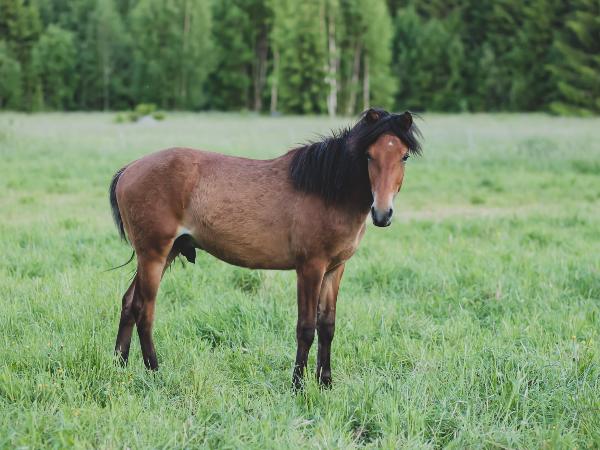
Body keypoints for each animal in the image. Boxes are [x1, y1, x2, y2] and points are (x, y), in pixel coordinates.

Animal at [109, 108, 422, 388]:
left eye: (404, 156)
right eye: (369, 155)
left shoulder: (335, 269)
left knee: (129, 303)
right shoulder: (310, 268)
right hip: (153, 255)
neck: (328, 190)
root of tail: (129, 169)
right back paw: (153, 370)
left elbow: (327, 327)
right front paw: (298, 385)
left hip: (163, 255)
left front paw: (326, 383)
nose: (382, 213)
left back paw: (119, 365)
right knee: (144, 309)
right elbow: (306, 328)